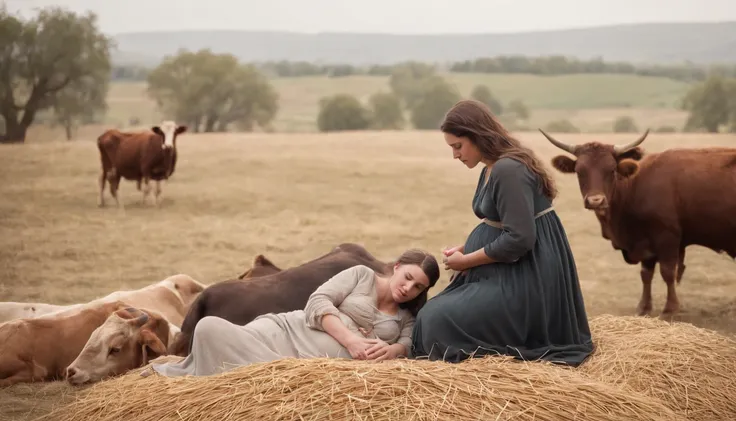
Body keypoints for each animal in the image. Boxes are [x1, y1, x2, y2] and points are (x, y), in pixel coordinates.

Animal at [540, 130, 736, 316]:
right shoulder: (644, 241)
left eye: (611, 170)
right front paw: (644, 307)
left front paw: (670, 309)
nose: (596, 201)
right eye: (579, 171)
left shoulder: (668, 237)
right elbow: (646, 274)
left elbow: (667, 272)